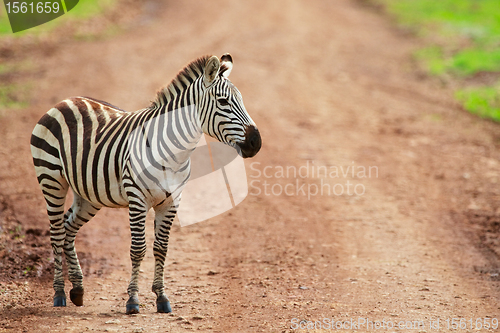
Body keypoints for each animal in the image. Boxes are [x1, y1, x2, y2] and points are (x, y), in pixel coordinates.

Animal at [29, 53, 262, 312]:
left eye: (241, 100)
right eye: (223, 102)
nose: (256, 142)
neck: (174, 153)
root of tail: (65, 101)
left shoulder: (172, 201)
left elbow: (161, 248)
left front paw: (162, 297)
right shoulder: (137, 198)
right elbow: (138, 249)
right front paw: (132, 300)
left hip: (89, 194)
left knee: (68, 227)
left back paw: (78, 289)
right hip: (52, 179)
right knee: (57, 232)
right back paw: (59, 293)